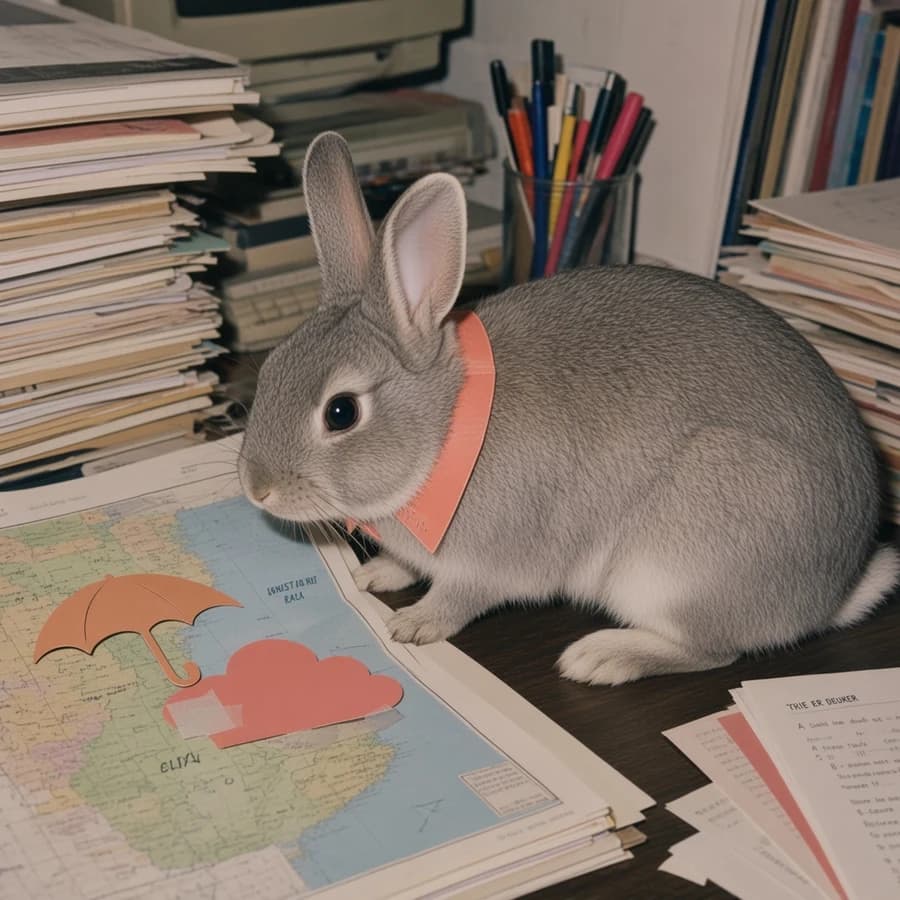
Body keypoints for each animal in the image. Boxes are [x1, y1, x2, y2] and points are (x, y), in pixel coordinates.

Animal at [238, 130, 900, 686]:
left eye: (341, 413)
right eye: (269, 368)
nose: (256, 490)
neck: (443, 431)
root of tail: (829, 594)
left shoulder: (492, 562)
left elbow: (461, 599)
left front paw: (413, 624)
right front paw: (376, 575)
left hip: (674, 567)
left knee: (715, 652)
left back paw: (601, 658)